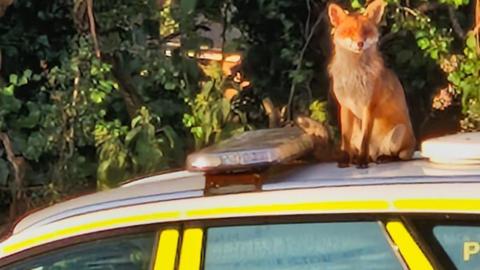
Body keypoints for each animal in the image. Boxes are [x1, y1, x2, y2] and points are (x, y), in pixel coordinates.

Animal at [328, 0, 414, 169]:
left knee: (398, 156)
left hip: (399, 135)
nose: (360, 43)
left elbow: (365, 140)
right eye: (349, 31)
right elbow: (345, 140)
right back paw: (360, 159)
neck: (353, 76)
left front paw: (362, 161)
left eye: (366, 31)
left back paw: (382, 158)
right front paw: (346, 159)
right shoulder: (345, 106)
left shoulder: (369, 105)